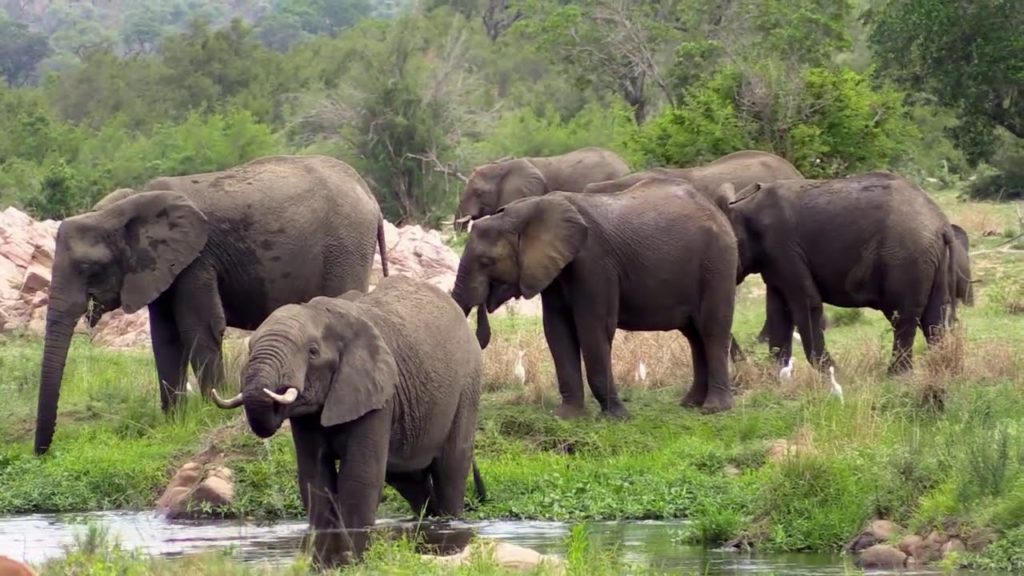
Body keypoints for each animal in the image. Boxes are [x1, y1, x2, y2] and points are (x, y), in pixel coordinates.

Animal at [34, 155, 389, 456]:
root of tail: (371, 198)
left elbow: (199, 327)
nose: (43, 454)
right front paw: (174, 422)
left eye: (88, 268)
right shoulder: (163, 268)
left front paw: (208, 412)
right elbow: (165, 338)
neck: (127, 205)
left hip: (346, 246)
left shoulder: (197, 260)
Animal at [212, 275, 484, 567]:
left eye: (313, 352)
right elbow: (314, 478)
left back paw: (449, 521)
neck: (322, 313)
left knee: (450, 466)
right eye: (250, 348)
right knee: (406, 477)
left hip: (468, 385)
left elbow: (359, 477)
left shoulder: (377, 393)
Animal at [452, 177, 739, 417]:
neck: (525, 211)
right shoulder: (554, 268)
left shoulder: (594, 263)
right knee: (694, 335)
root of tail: (717, 209)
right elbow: (557, 330)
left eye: (487, 261)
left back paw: (714, 409)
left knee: (712, 329)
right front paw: (566, 416)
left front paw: (616, 417)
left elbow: (593, 327)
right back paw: (690, 404)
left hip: (717, 262)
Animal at [721, 171, 957, 375]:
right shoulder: (773, 261)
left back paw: (896, 376)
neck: (741, 206)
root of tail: (942, 223)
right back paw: (941, 367)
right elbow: (778, 311)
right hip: (932, 259)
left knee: (903, 316)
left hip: (906, 257)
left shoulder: (782, 247)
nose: (744, 370)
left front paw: (836, 375)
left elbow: (806, 303)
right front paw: (775, 378)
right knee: (934, 316)